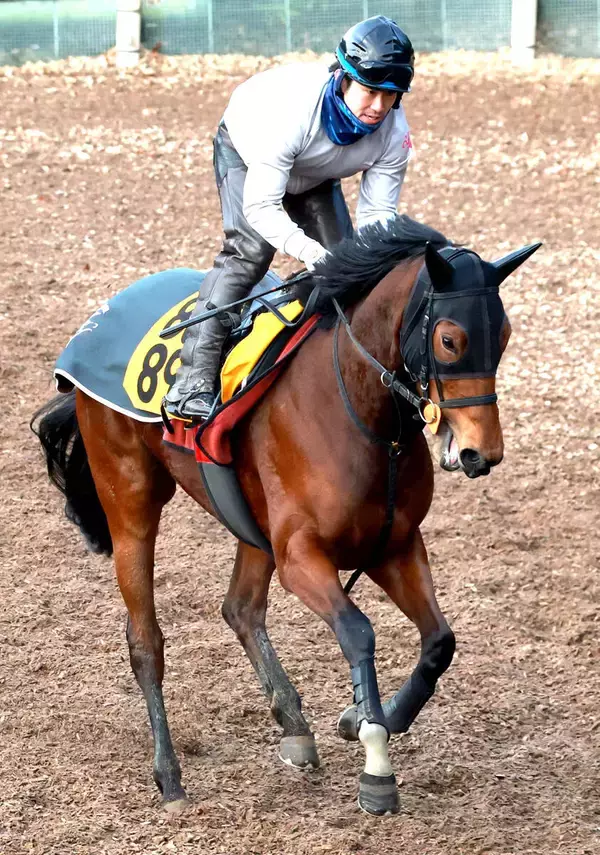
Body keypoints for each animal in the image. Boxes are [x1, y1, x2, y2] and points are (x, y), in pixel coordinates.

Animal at [32, 216, 540, 816]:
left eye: (503, 336)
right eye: (449, 339)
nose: (482, 453)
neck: (361, 414)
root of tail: (99, 319)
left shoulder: (394, 544)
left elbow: (440, 642)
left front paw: (374, 716)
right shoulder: (301, 557)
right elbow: (358, 631)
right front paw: (375, 762)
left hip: (250, 524)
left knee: (241, 608)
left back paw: (294, 725)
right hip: (131, 502)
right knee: (145, 641)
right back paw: (170, 776)